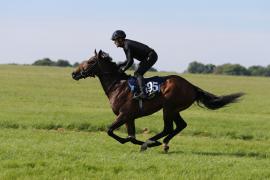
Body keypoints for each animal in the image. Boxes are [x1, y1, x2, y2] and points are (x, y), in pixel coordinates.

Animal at [71, 49, 245, 152]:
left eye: (91, 61)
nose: (74, 73)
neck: (117, 85)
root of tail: (191, 86)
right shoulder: (130, 117)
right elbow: (130, 137)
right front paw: (139, 143)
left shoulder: (124, 115)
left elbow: (110, 131)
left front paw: (146, 144)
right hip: (174, 109)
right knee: (181, 125)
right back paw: (164, 143)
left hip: (168, 107)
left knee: (168, 127)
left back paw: (151, 142)